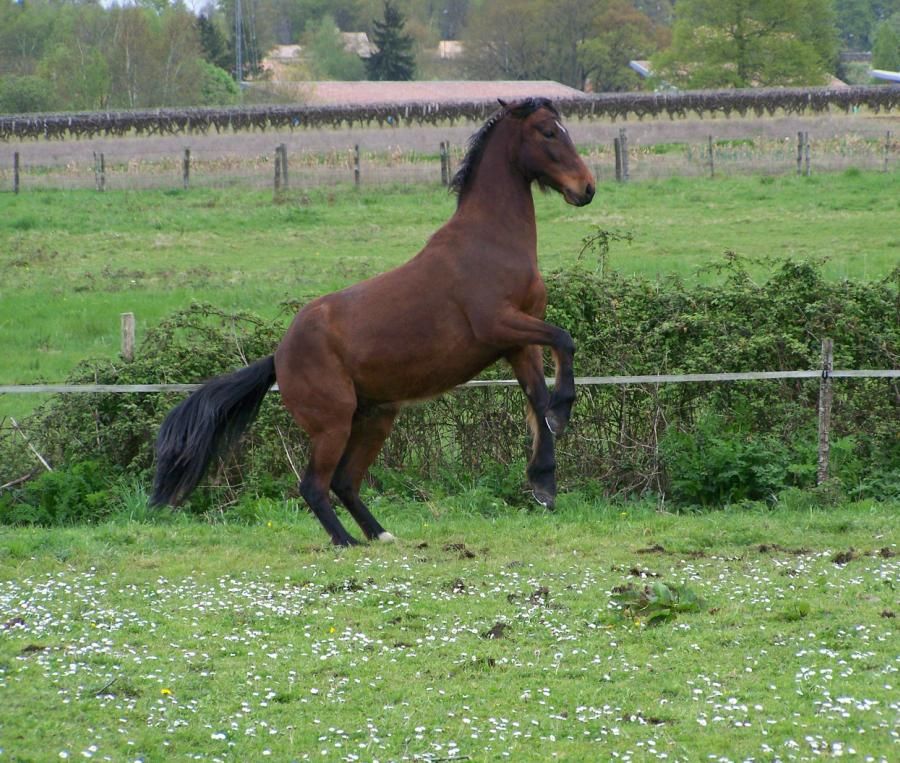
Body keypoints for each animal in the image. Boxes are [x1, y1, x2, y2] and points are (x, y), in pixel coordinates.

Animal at [152, 97, 596, 546]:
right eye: (548, 132)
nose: (587, 188)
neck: (491, 242)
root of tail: (278, 357)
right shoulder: (499, 325)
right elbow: (565, 341)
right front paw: (561, 416)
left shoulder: (518, 343)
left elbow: (538, 396)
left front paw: (544, 482)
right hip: (333, 425)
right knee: (314, 485)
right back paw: (345, 541)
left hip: (375, 419)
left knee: (345, 481)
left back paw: (380, 535)